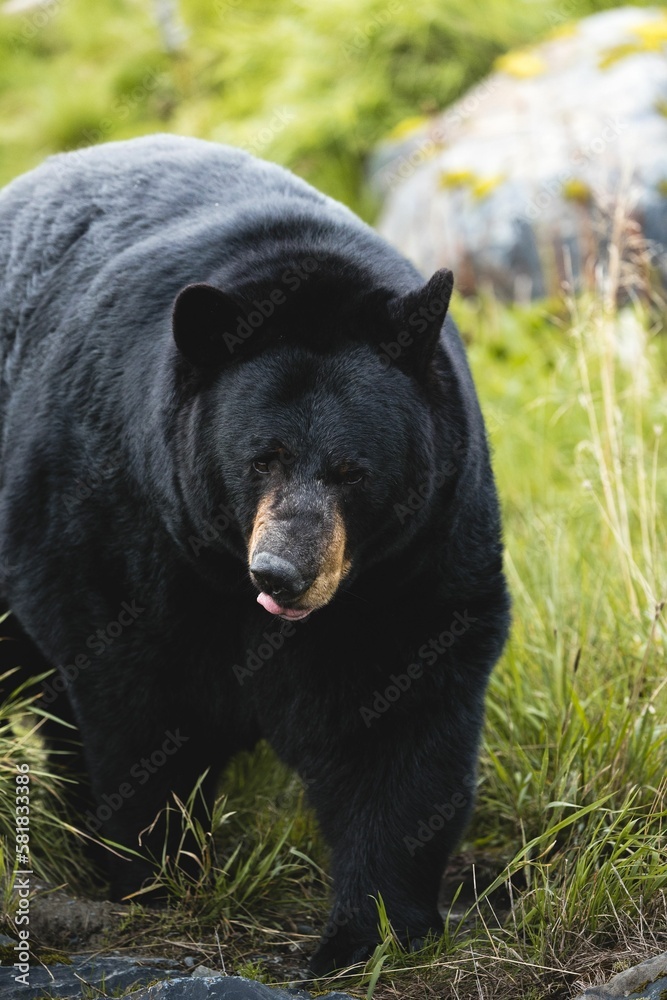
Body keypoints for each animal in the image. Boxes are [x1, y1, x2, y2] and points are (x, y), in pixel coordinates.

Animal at [0, 135, 512, 976]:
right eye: (259, 459)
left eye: (352, 470)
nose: (283, 572)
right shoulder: (119, 525)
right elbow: (137, 702)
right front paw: (156, 870)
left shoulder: (416, 558)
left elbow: (397, 718)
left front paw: (369, 928)